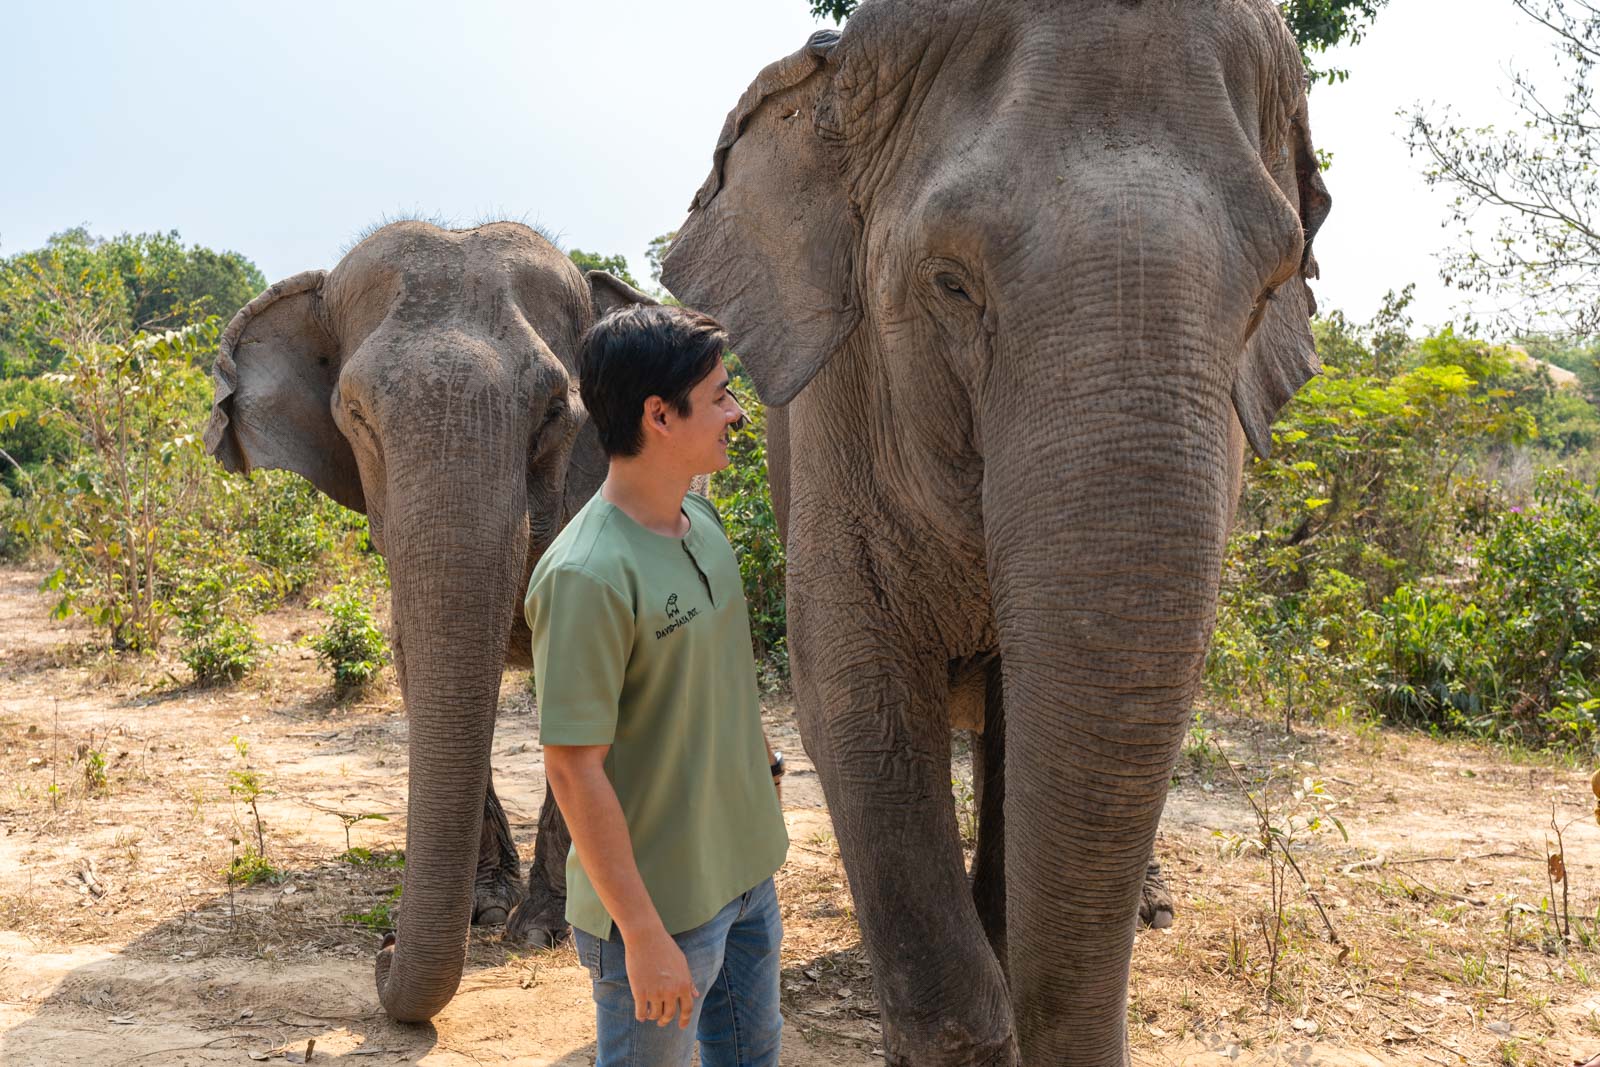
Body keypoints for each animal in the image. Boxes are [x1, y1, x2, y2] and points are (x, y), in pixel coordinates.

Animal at [203, 220, 652, 1023]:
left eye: (555, 414)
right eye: (355, 416)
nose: (379, 949)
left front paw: (538, 930)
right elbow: (414, 658)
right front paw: (485, 909)